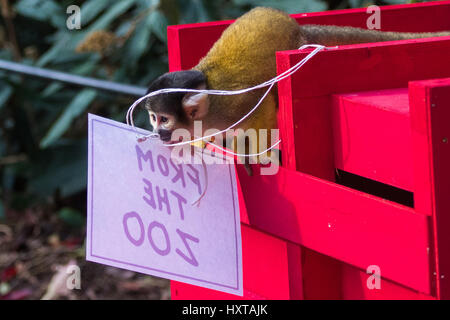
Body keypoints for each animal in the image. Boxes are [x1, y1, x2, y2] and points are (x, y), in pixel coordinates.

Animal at [145, 5, 450, 175]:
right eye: (152, 118)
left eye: (163, 120)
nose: (156, 133)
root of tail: (298, 27)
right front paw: (197, 145)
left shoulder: (234, 107)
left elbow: (262, 111)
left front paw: (257, 156)